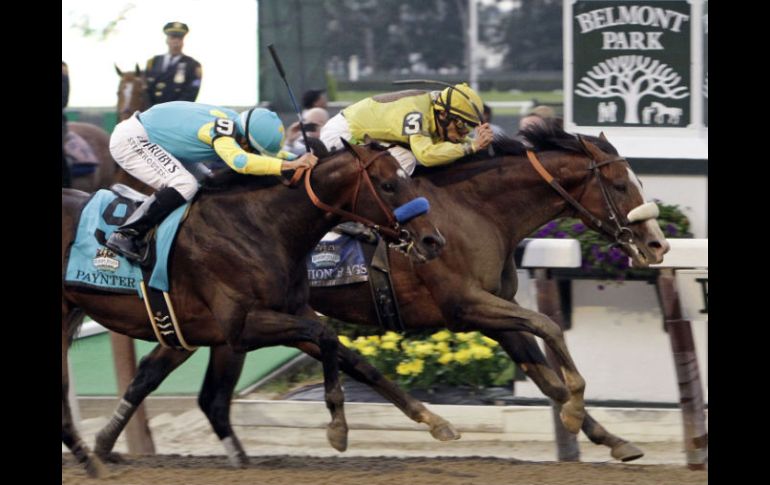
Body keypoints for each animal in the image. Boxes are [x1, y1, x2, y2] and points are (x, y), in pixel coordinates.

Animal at [64, 141, 450, 476]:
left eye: (406, 178)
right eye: (388, 185)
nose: (433, 240)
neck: (261, 226)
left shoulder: (284, 315)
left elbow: (356, 362)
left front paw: (433, 420)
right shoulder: (242, 327)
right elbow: (325, 334)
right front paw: (338, 428)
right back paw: (93, 462)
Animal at [90, 123, 668, 464]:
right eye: (621, 184)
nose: (657, 244)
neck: (477, 211)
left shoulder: (493, 316)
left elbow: (545, 377)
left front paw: (613, 439)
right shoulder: (468, 307)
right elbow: (549, 329)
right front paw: (579, 413)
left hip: (204, 325)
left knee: (161, 376)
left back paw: (104, 447)